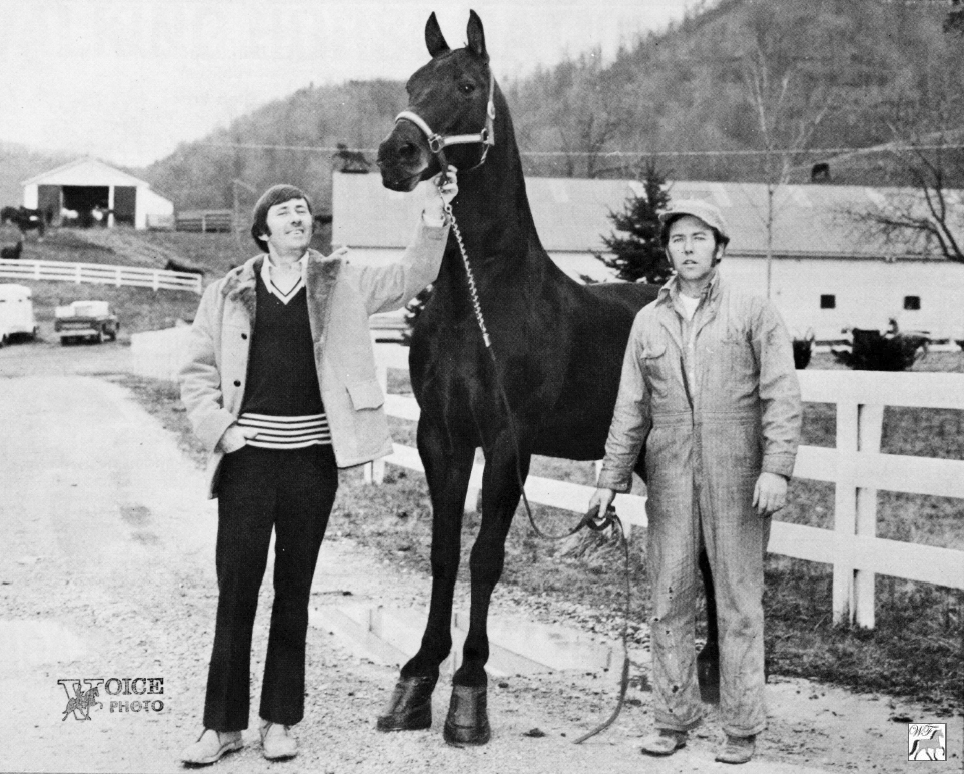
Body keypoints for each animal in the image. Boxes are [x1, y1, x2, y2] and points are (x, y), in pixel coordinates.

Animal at [376, 7, 724, 744]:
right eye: (413, 83)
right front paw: (416, 681)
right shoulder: (441, 437)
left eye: (468, 86)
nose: (396, 154)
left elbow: (487, 556)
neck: (482, 300)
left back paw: (711, 674)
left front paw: (469, 693)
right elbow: (443, 551)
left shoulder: (510, 444)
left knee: (714, 553)